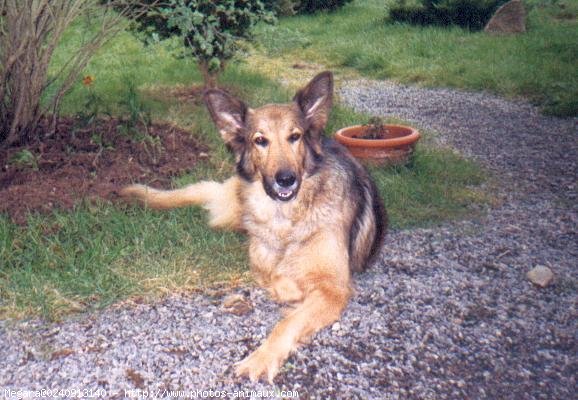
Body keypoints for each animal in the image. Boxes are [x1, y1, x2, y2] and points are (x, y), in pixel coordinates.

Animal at [119, 71, 384, 382]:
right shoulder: (261, 265)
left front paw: (261, 358)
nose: (286, 179)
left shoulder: (335, 288)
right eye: (260, 140)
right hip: (231, 211)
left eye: (295, 137)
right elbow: (277, 278)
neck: (285, 219)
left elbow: (287, 320)